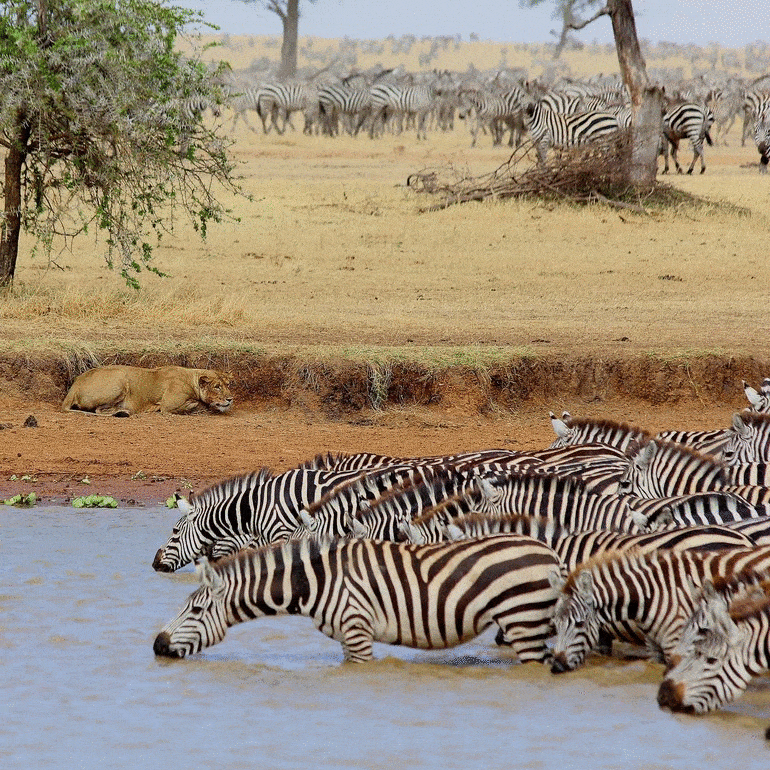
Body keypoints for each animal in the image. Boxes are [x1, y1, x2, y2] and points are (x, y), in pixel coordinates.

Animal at [62, 365, 234, 417]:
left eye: (228, 385)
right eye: (217, 386)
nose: (230, 399)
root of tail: (75, 384)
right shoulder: (169, 405)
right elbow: (195, 404)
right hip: (120, 378)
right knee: (98, 410)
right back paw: (123, 412)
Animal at [153, 534, 563, 663]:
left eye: (196, 610)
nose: (157, 645)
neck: (316, 582)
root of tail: (548, 552)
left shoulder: (357, 630)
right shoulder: (346, 638)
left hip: (523, 621)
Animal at [548, 545, 770, 673]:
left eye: (579, 624)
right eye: (556, 624)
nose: (556, 666)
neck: (653, 594)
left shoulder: (677, 642)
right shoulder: (654, 647)